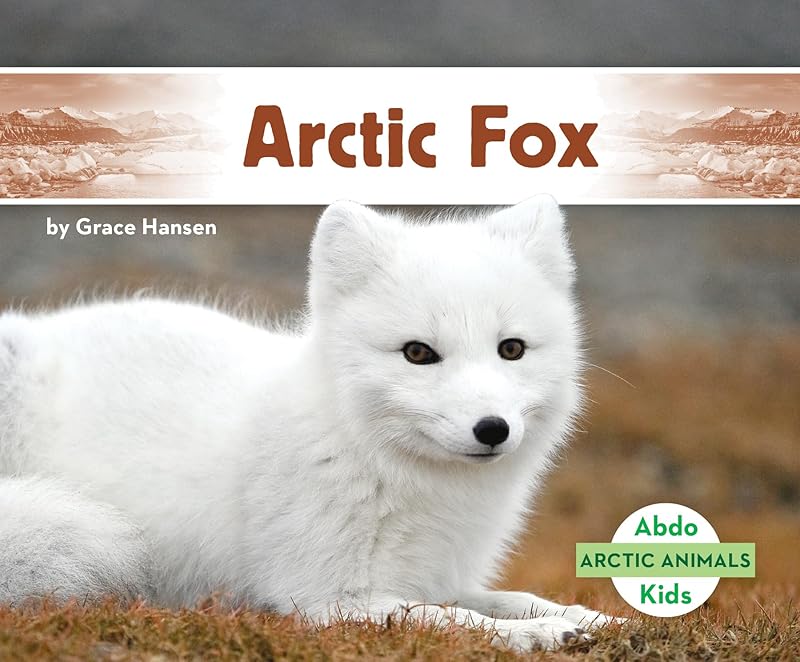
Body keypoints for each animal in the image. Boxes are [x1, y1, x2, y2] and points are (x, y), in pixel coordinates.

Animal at [0, 196, 617, 651]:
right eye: (418, 353)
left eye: (511, 349)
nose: (492, 429)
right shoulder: (330, 598)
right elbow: (450, 620)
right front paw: (541, 634)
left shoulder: (441, 576)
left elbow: (508, 599)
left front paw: (587, 616)